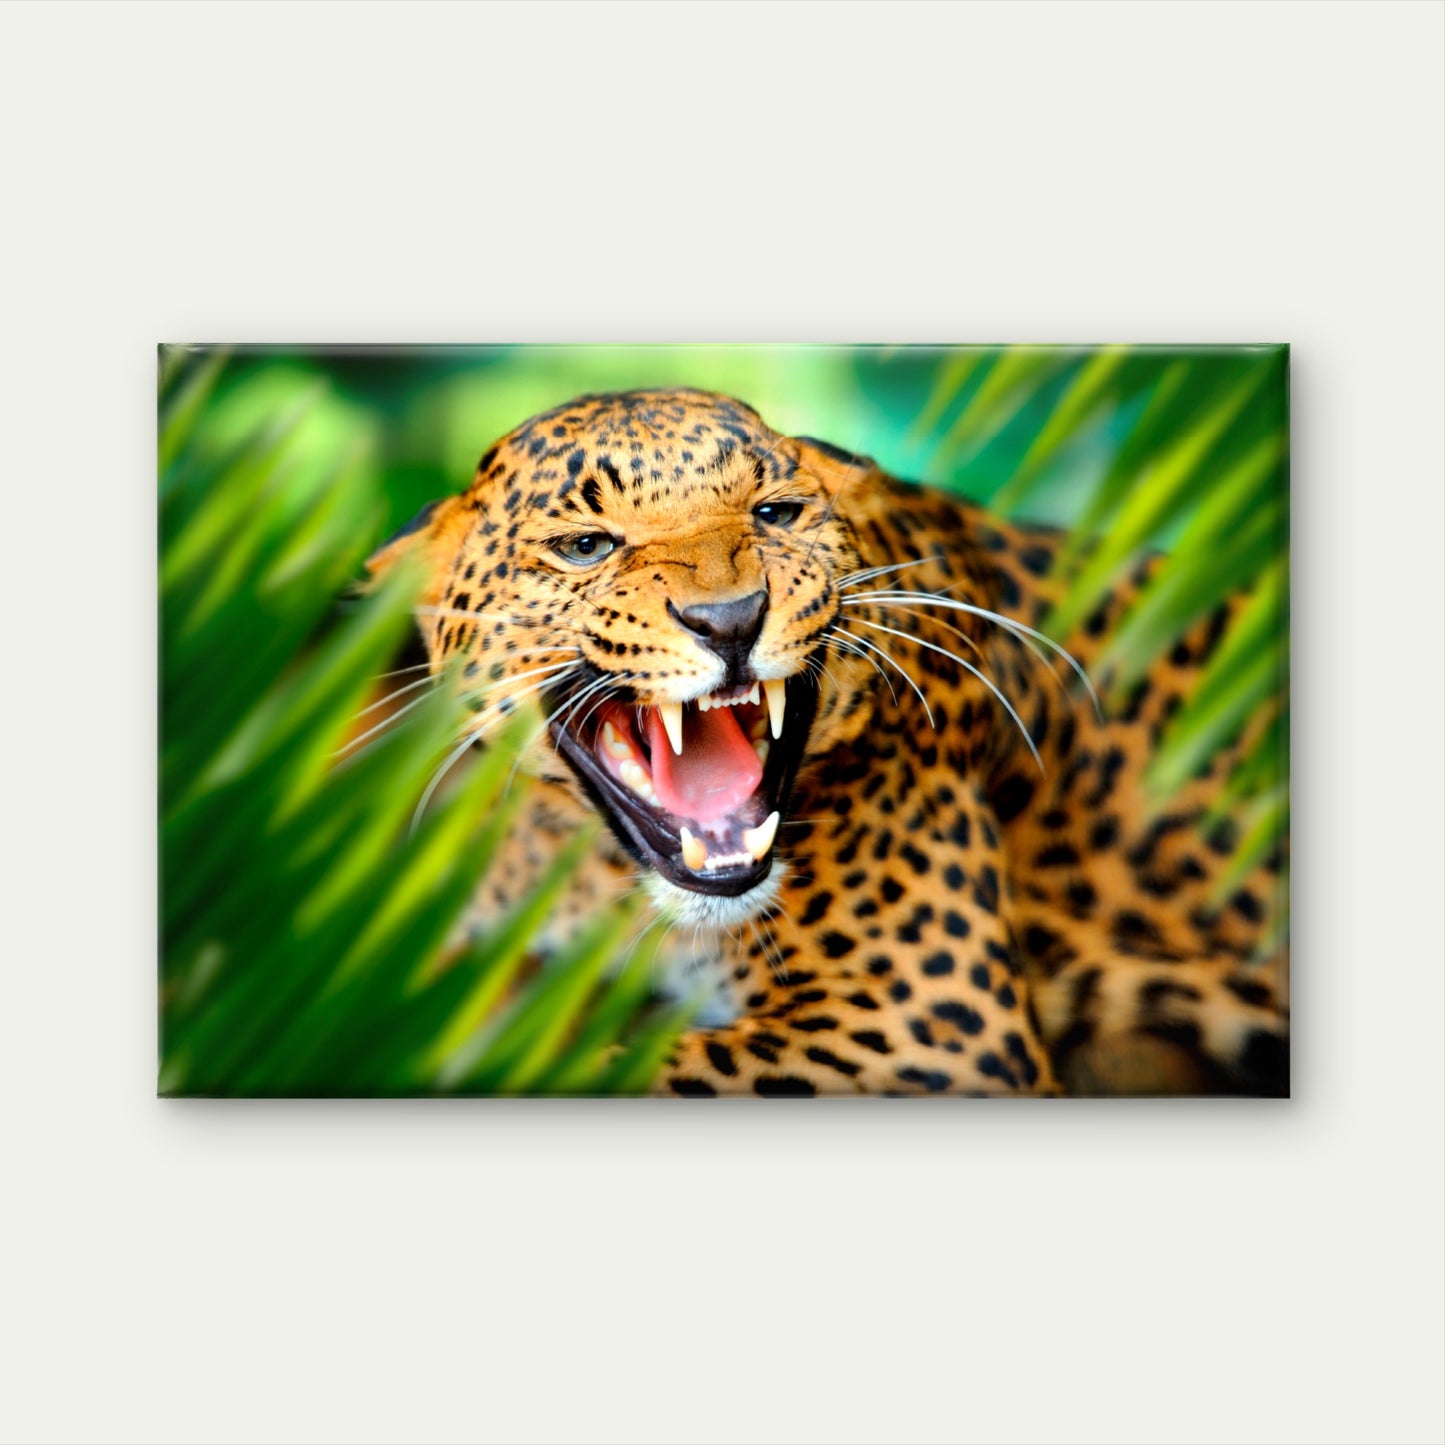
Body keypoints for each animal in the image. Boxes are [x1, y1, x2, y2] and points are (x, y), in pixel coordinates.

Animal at [368, 386, 1289, 1096]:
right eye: (586, 546)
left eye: (775, 513)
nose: (729, 619)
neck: (609, 881)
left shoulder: (932, 1028)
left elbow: (625, 1066)